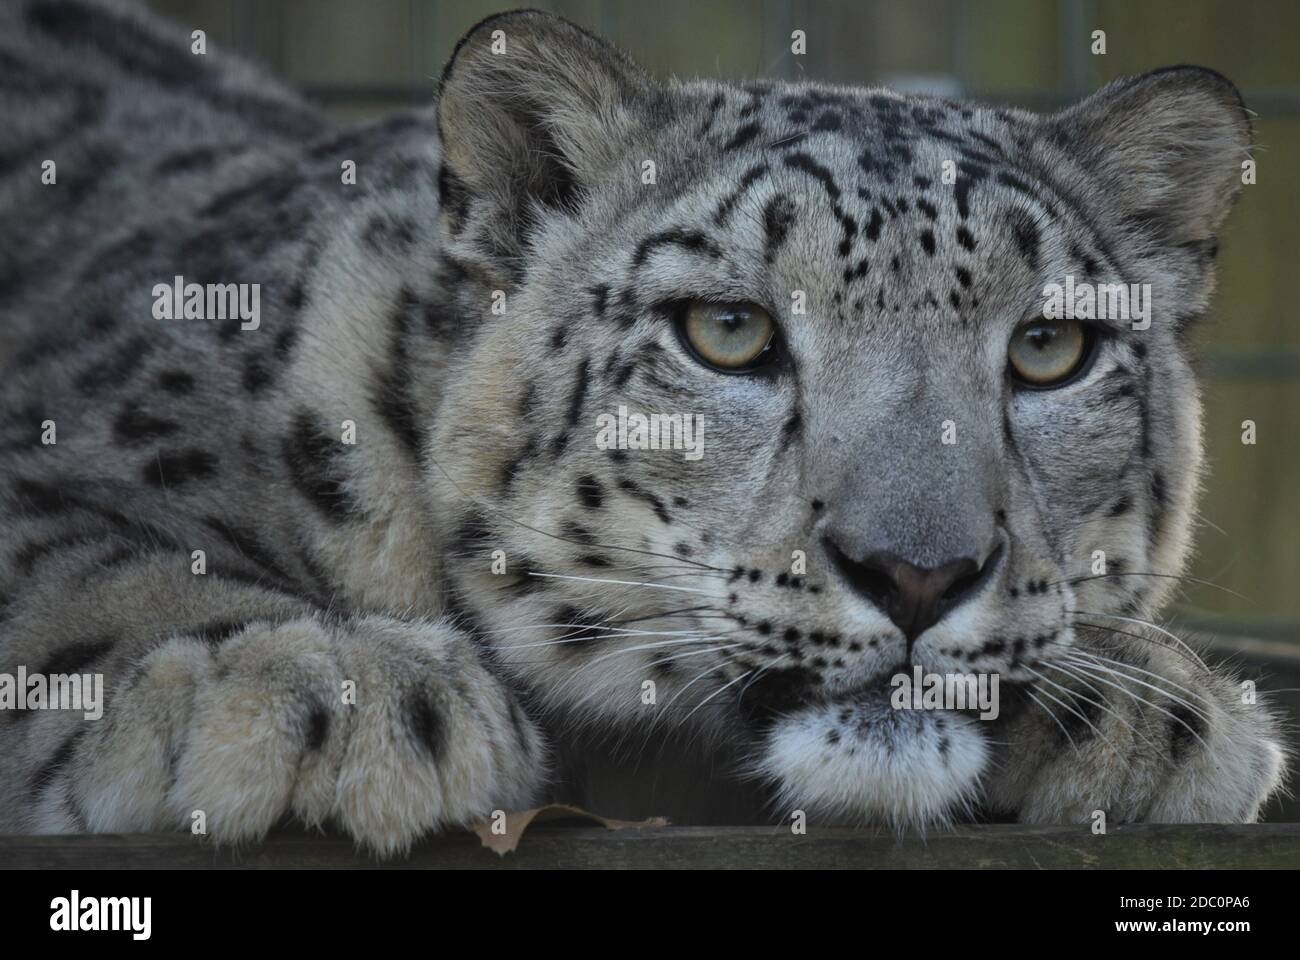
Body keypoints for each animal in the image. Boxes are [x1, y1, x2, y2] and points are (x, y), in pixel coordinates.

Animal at [0, 0, 1286, 855]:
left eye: (1048, 349)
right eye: (727, 329)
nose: (916, 574)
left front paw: (1149, 712)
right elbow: (74, 562)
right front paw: (319, 688)